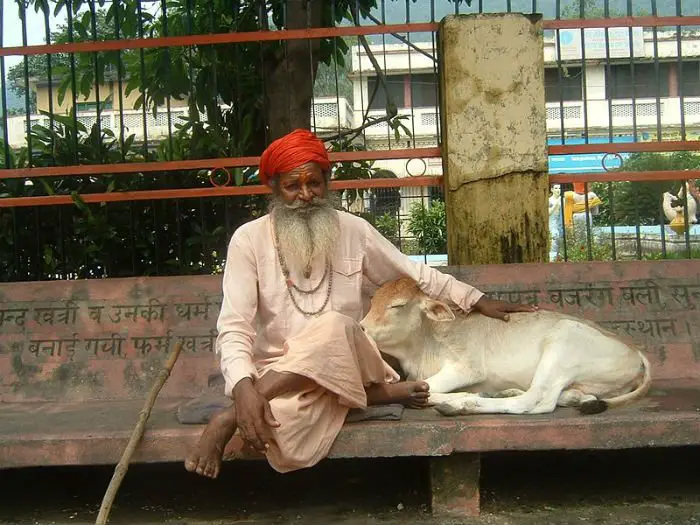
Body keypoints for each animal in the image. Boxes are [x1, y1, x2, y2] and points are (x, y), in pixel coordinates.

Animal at [360, 276, 652, 416]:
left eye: (397, 306)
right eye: (373, 301)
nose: (361, 327)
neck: (424, 343)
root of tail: (637, 353)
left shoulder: (467, 368)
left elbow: (430, 388)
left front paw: (460, 397)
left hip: (562, 345)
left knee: (536, 401)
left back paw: (463, 405)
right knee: (569, 397)